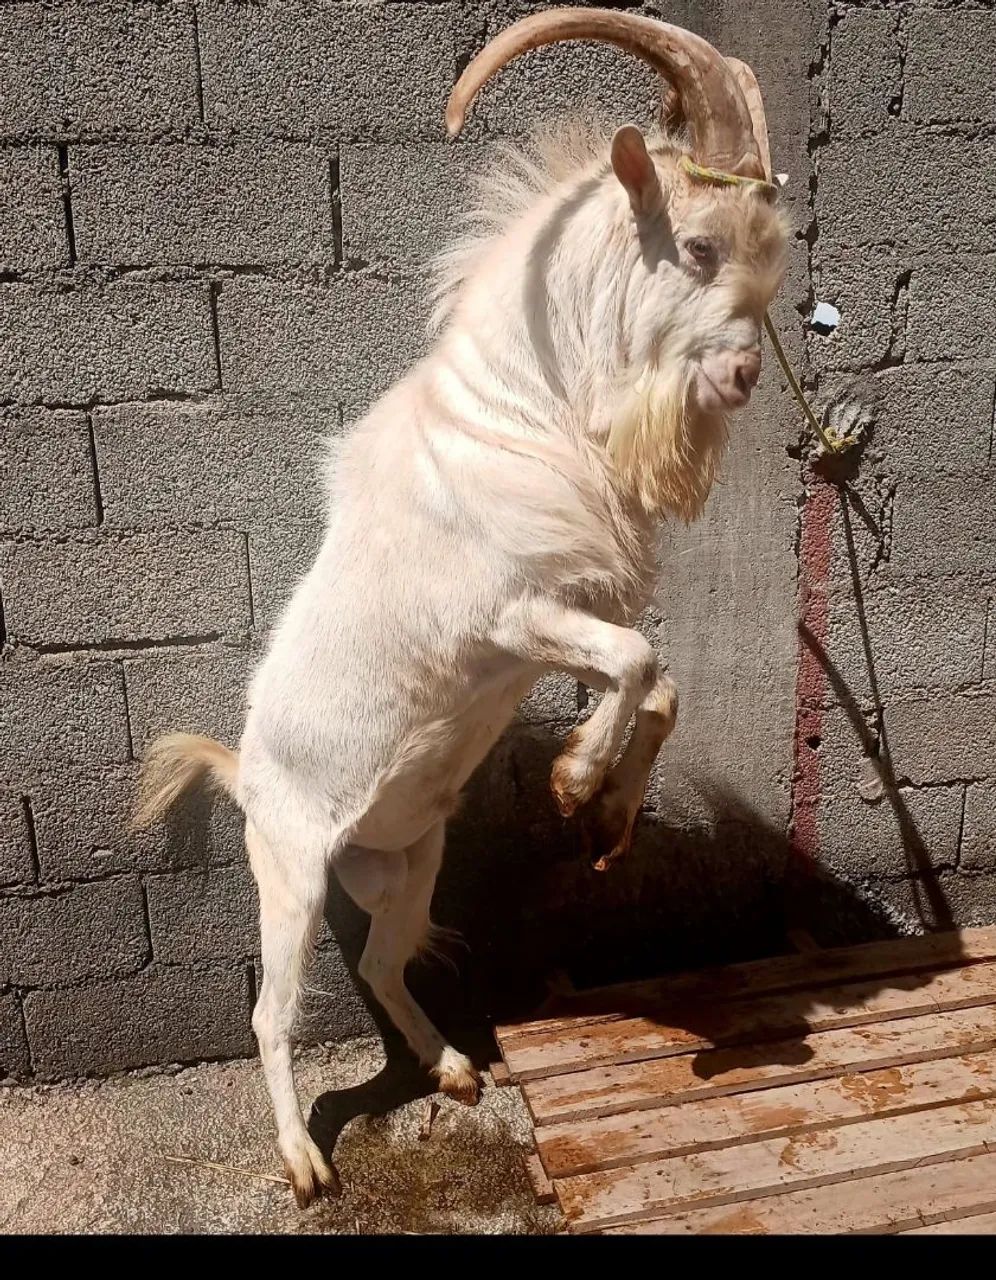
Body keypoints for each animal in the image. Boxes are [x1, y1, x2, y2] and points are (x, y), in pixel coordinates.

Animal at [135, 8, 789, 1207]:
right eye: (699, 247)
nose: (741, 377)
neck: (523, 413)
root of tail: (246, 775)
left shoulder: (559, 622)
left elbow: (660, 682)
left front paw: (606, 815)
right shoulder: (509, 616)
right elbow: (639, 663)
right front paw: (578, 782)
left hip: (407, 864)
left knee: (384, 961)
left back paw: (450, 1065)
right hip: (290, 875)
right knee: (271, 1011)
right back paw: (303, 1160)